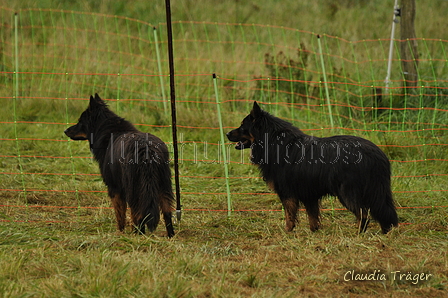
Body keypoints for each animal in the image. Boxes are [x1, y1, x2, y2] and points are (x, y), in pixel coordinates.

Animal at [65, 93, 175, 237]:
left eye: (80, 121)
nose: (65, 130)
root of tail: (147, 149)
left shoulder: (115, 188)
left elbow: (120, 213)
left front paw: (120, 232)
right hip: (163, 185)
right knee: (167, 211)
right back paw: (170, 235)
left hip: (134, 187)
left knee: (138, 213)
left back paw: (138, 234)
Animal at [228, 101, 400, 234]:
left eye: (242, 126)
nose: (227, 134)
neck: (274, 141)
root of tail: (378, 154)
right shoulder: (309, 193)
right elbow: (312, 217)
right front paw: (314, 232)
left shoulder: (287, 193)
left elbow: (289, 216)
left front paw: (287, 232)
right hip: (375, 191)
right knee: (383, 211)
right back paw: (385, 231)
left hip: (347, 192)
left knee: (363, 214)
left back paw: (358, 234)